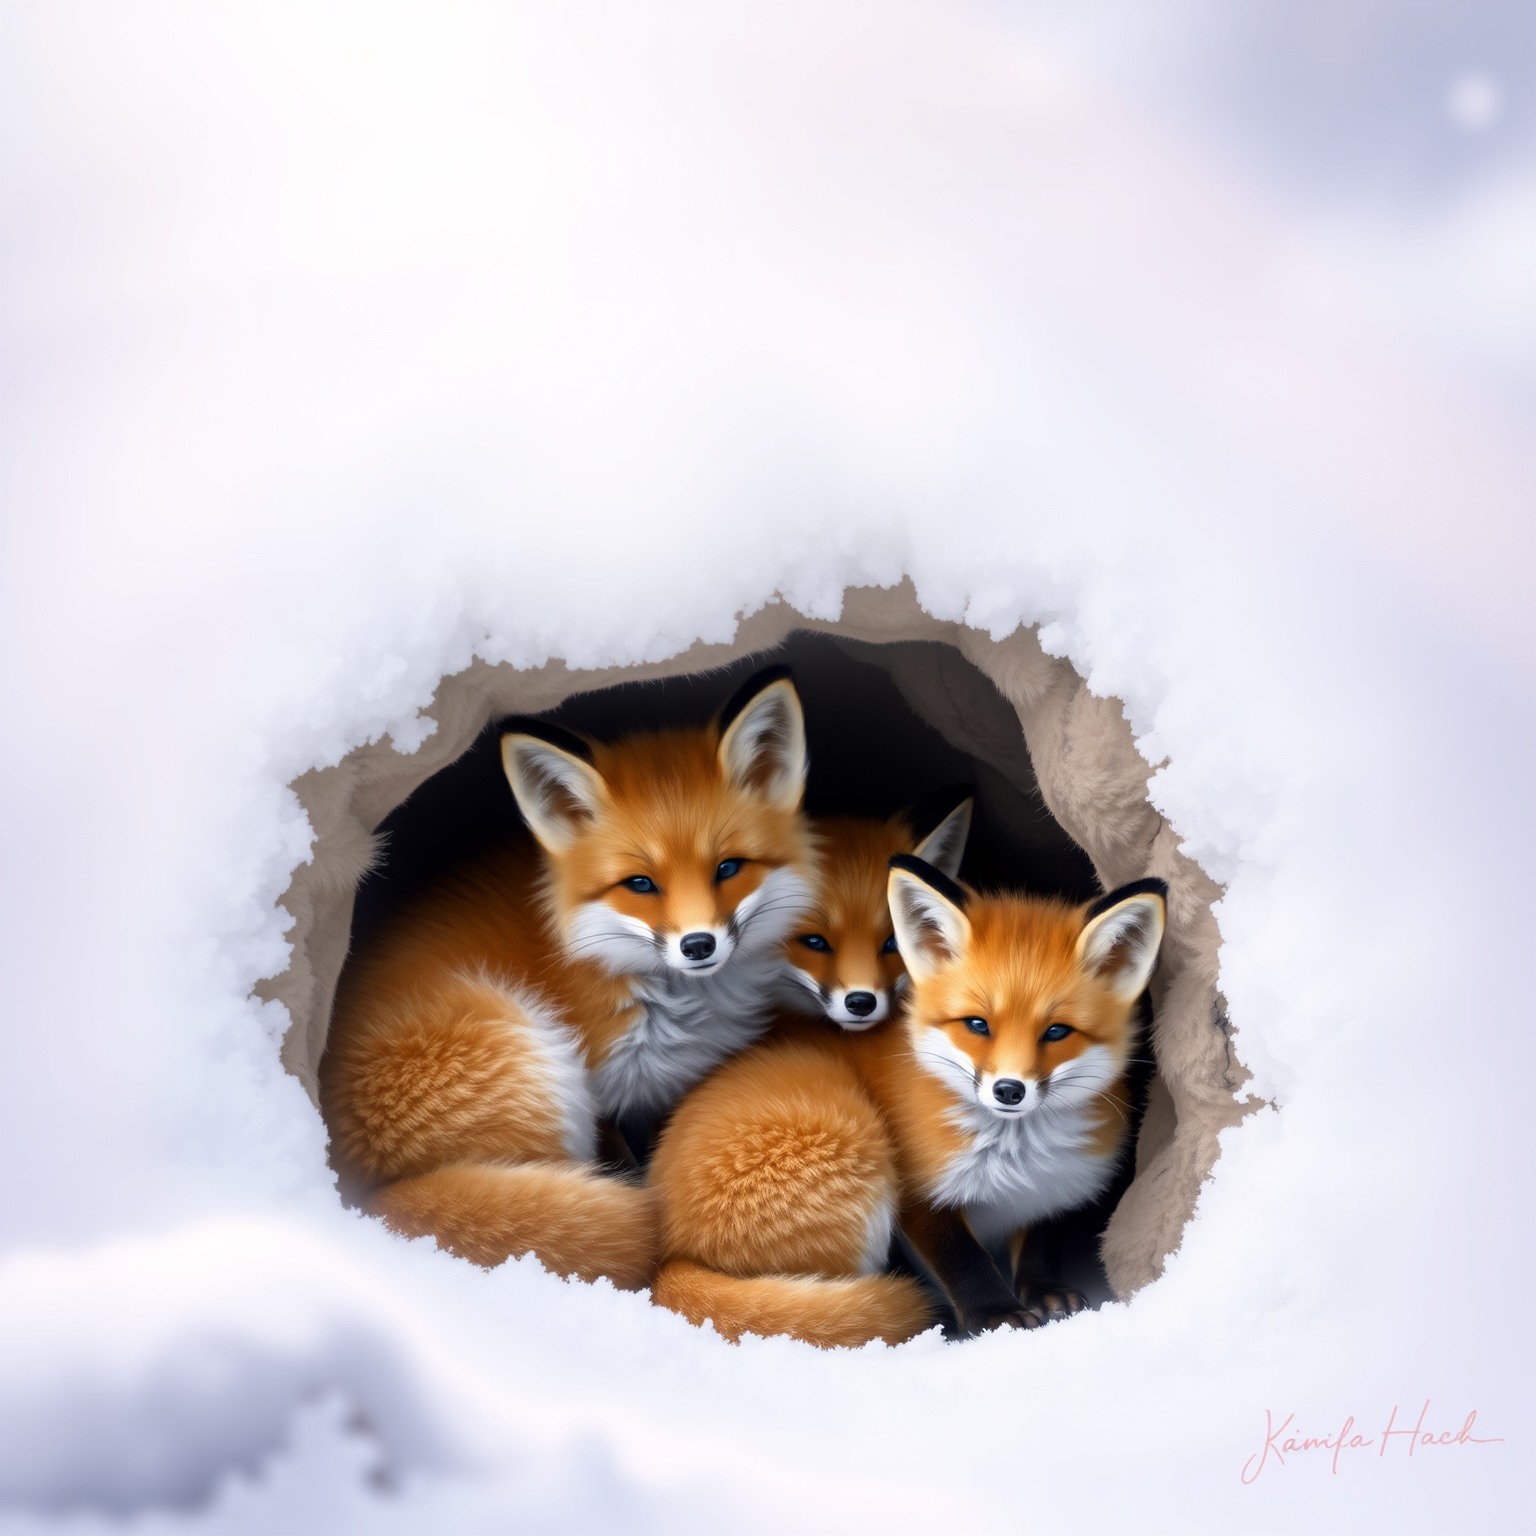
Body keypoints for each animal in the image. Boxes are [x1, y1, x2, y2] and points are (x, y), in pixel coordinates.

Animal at [320, 666, 815, 1290]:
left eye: (728, 868)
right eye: (640, 884)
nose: (698, 945)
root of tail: (369, 1196)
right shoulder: (604, 1100)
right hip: (537, 1064)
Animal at [873, 855, 1167, 1331]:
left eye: (1056, 1031)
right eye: (978, 1024)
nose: (1009, 1090)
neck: (1013, 1159)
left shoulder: (1052, 1188)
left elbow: (1037, 1243)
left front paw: (1044, 1290)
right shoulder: (921, 1198)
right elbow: (964, 1260)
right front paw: (994, 1312)